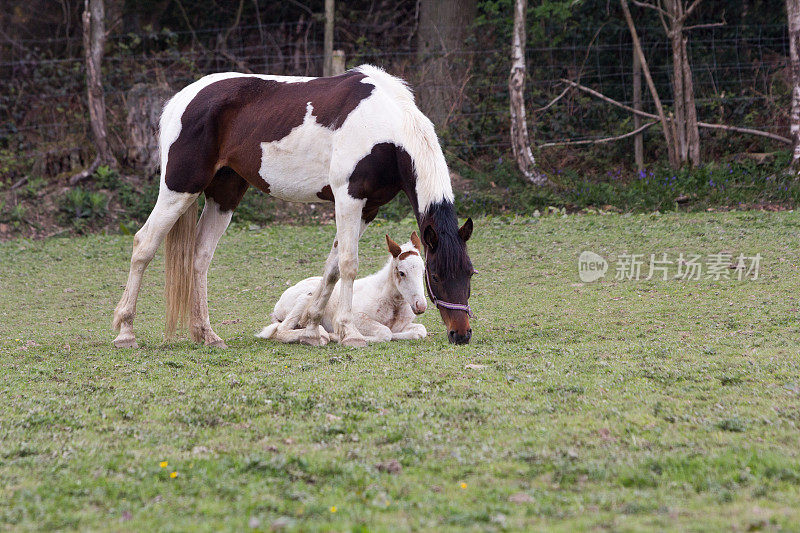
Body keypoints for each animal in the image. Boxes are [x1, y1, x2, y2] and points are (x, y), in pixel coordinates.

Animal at [260, 233, 428, 344]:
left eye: (423, 271)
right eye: (402, 273)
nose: (421, 306)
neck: (392, 303)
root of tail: (278, 305)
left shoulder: (403, 325)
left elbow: (419, 330)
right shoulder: (358, 317)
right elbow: (385, 333)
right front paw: (342, 336)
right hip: (306, 297)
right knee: (281, 330)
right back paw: (321, 335)